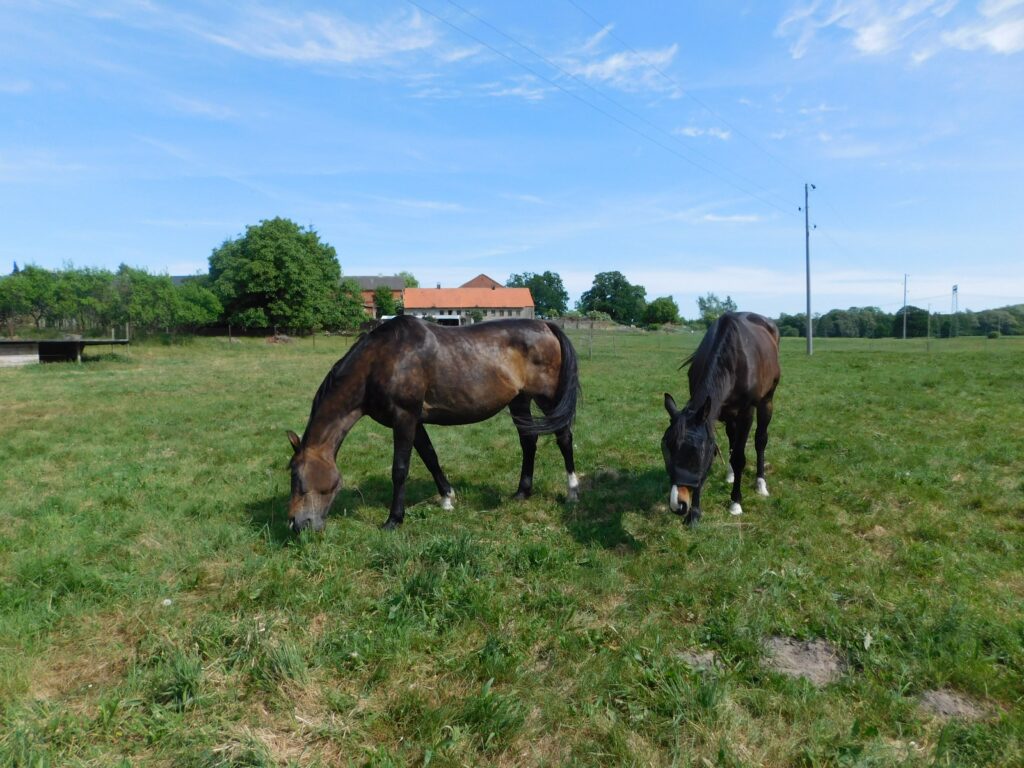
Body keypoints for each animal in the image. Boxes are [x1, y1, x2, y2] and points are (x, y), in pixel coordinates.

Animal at [287, 315, 580, 532]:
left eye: (297, 477)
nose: (296, 524)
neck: (381, 359)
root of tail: (547, 326)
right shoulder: (414, 421)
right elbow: (430, 457)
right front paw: (447, 498)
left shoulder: (404, 417)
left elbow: (400, 469)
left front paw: (394, 519)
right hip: (519, 400)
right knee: (528, 440)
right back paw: (522, 492)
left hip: (548, 398)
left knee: (564, 438)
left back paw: (572, 492)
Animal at [661, 311, 780, 524]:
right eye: (665, 449)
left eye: (697, 453)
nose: (678, 504)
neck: (732, 359)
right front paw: (695, 514)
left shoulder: (746, 412)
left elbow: (740, 457)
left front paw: (735, 502)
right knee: (733, 440)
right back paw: (731, 474)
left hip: (767, 400)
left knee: (760, 440)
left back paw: (760, 483)